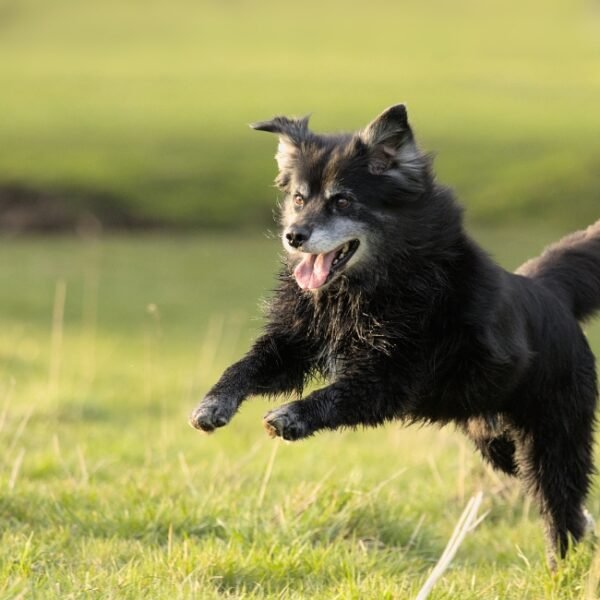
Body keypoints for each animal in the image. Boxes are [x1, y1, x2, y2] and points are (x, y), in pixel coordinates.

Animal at [191, 105, 600, 564]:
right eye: (298, 198)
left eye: (343, 200)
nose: (293, 236)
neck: (363, 289)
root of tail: (551, 293)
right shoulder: (294, 344)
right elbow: (245, 367)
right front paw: (212, 405)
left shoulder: (391, 377)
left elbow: (335, 394)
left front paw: (290, 417)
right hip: (496, 442)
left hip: (551, 437)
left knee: (561, 505)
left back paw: (562, 565)